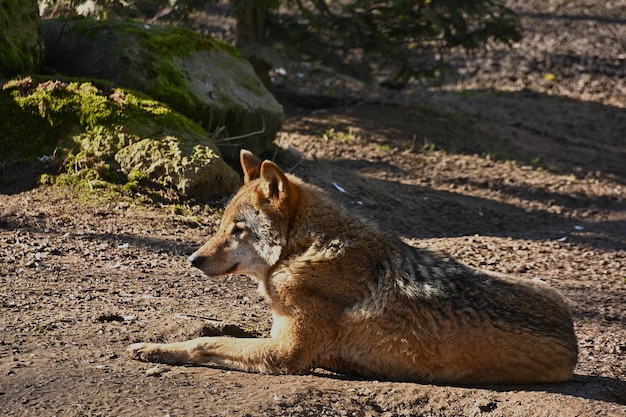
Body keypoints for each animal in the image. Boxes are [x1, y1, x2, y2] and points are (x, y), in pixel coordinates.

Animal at [127, 150, 576, 384]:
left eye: (239, 229)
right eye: (221, 225)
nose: (193, 260)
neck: (303, 252)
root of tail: (572, 338)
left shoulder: (284, 355)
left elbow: (206, 344)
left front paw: (153, 349)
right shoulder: (275, 334)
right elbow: (217, 332)